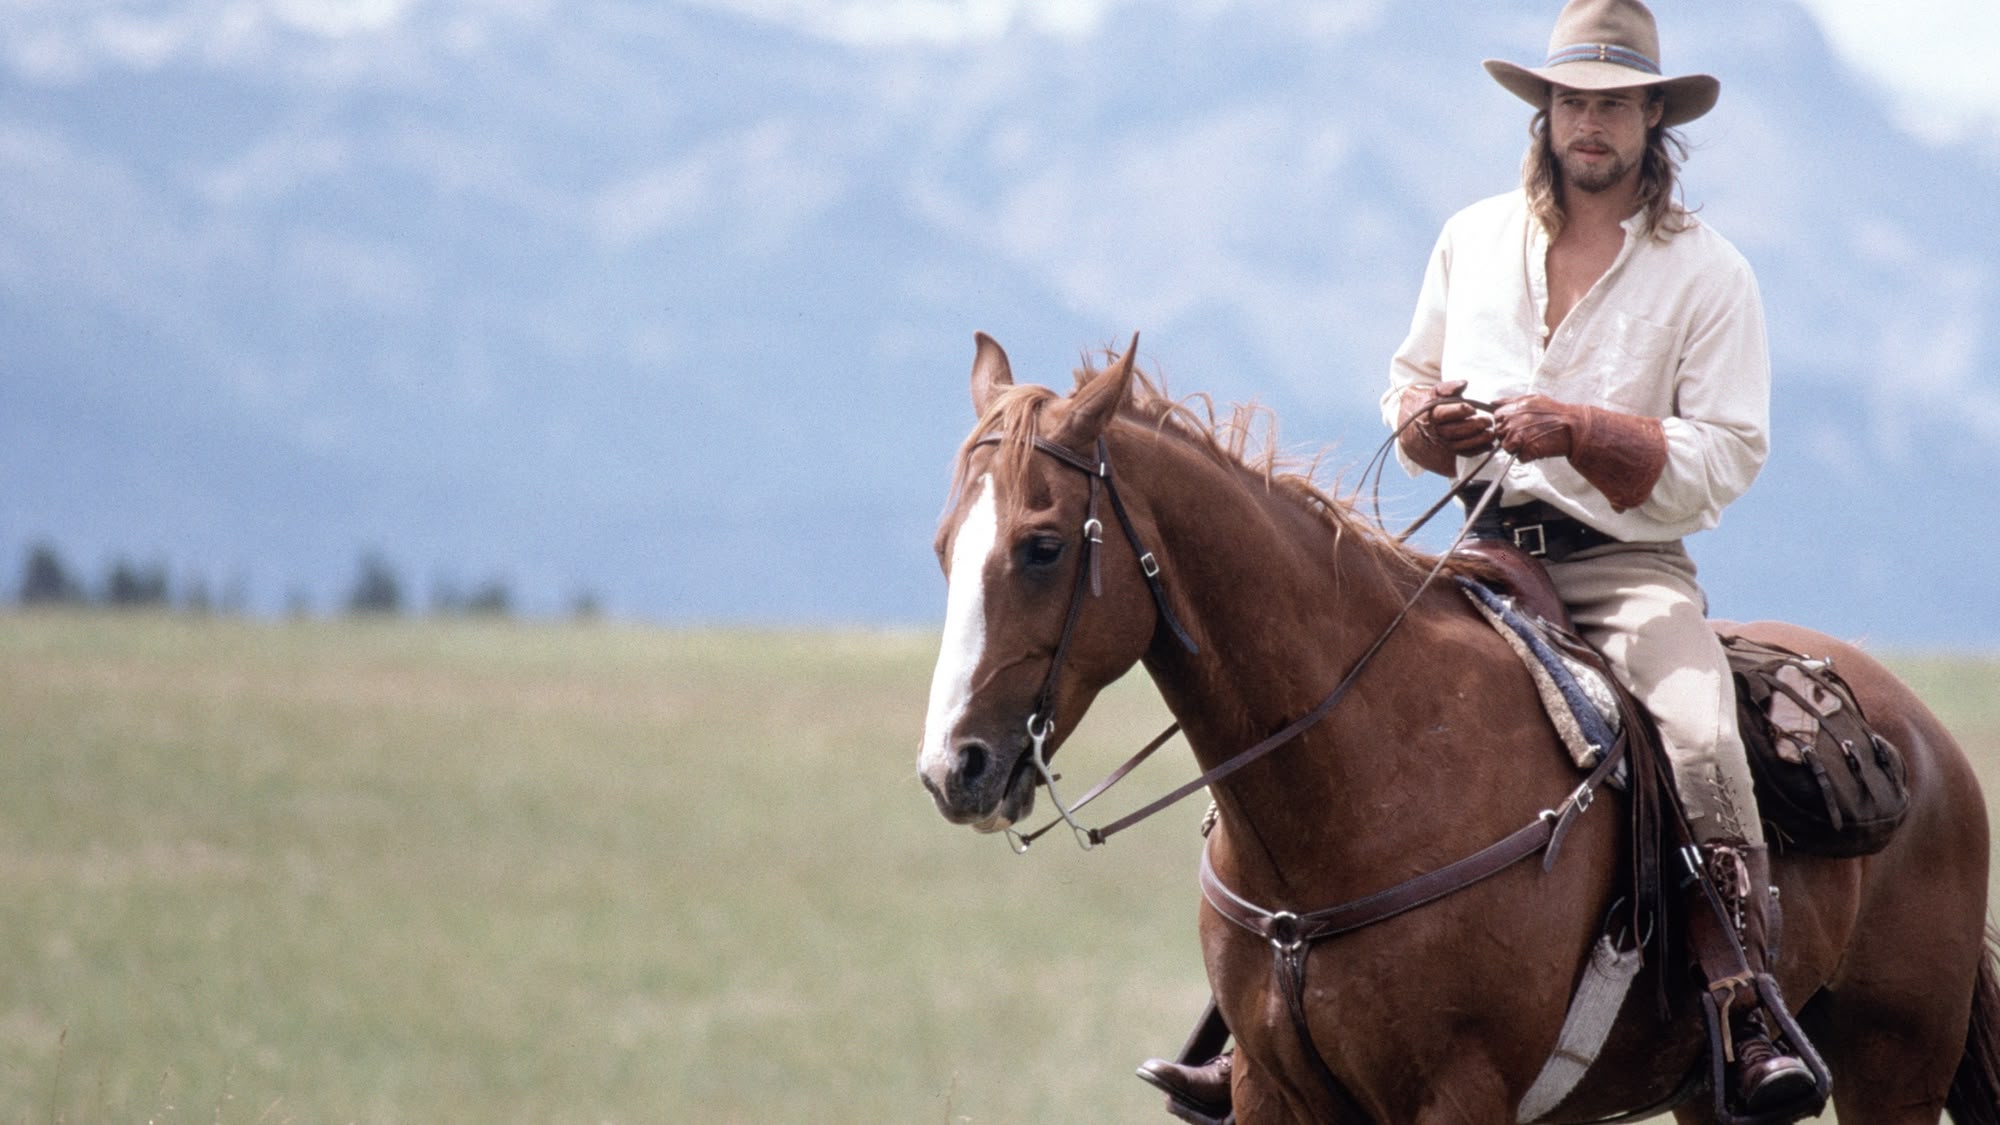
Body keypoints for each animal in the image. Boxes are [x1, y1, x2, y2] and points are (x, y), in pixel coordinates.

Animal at [915, 332, 2000, 1124]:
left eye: (1042, 545)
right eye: (942, 547)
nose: (951, 768)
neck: (1357, 783)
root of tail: (1926, 744)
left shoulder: (1459, 1092)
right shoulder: (1273, 1091)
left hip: (1892, 1070)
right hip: (1710, 1093)